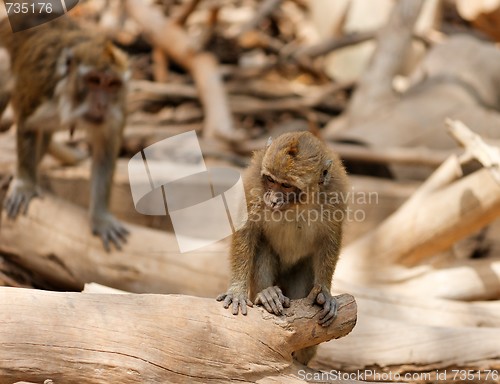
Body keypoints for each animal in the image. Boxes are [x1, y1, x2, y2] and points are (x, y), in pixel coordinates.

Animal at [219, 130, 348, 364]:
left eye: (287, 186)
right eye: (270, 180)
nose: (272, 199)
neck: (296, 204)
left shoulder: (334, 194)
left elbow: (330, 239)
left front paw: (324, 292)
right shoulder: (254, 186)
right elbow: (247, 230)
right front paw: (236, 291)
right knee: (263, 247)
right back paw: (267, 294)